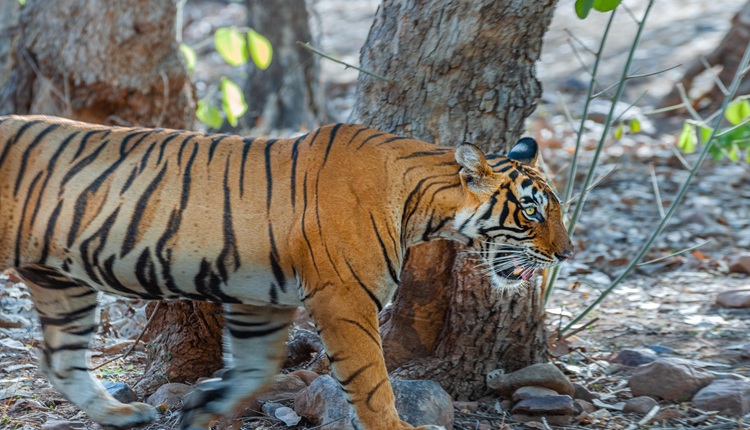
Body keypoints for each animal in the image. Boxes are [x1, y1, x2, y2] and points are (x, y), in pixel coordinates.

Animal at [0, 115, 573, 430]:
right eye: (531, 211)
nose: (567, 254)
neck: (423, 206)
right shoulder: (345, 299)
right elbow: (372, 380)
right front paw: (397, 428)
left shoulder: (260, 297)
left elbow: (255, 367)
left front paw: (203, 404)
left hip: (61, 283)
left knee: (61, 360)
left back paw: (120, 415)